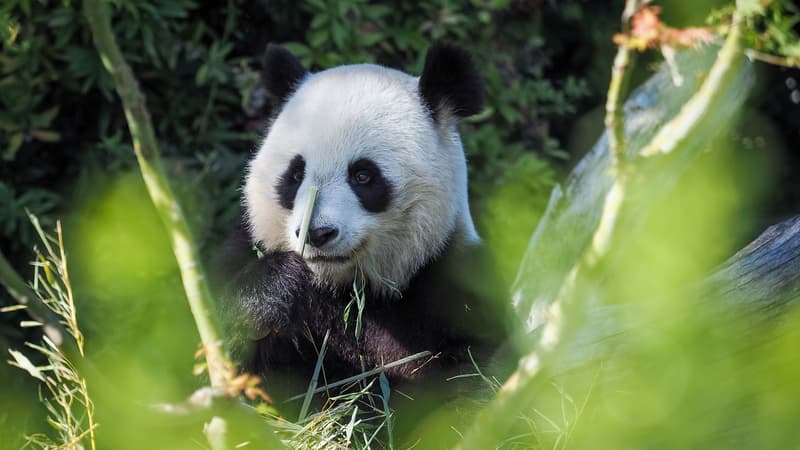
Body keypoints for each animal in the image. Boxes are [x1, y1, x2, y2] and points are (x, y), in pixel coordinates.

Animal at [216, 43, 510, 414]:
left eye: (363, 175)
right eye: (295, 174)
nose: (317, 234)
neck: (342, 288)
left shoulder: (456, 284)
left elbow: (465, 381)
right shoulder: (241, 249)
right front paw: (277, 290)